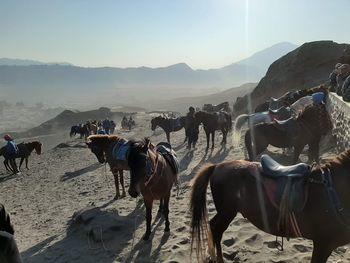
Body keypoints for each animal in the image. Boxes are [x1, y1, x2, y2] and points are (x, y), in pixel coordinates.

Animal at [191, 150, 350, 262]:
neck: (332, 190)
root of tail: (217, 166)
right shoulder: (323, 244)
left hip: (226, 212)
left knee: (213, 227)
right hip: (227, 212)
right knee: (216, 230)